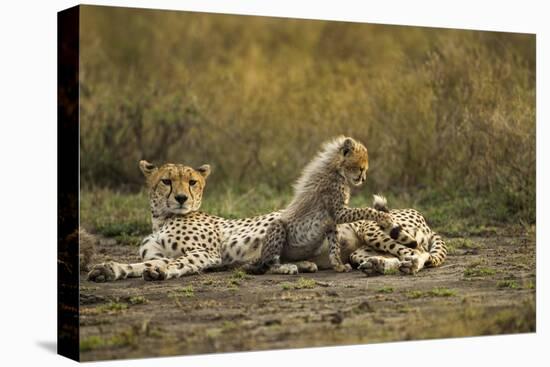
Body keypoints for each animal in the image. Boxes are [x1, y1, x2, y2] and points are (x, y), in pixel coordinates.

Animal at [87, 160, 448, 284]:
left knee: (418, 253)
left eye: (192, 182)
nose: (180, 199)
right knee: (387, 256)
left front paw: (162, 272)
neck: (161, 219)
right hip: (359, 248)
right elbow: (138, 265)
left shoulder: (208, 254)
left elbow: (180, 263)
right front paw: (109, 269)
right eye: (166, 181)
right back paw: (375, 266)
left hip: (372, 228)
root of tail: (421, 213)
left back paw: (406, 266)